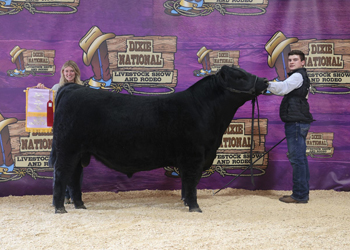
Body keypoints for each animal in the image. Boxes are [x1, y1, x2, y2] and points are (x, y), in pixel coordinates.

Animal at [50, 66, 266, 213]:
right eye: (239, 76)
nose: (264, 80)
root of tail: (72, 88)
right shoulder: (194, 156)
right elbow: (192, 182)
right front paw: (194, 206)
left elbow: (186, 183)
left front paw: (186, 202)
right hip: (67, 149)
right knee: (61, 175)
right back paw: (60, 208)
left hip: (80, 152)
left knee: (74, 177)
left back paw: (80, 205)